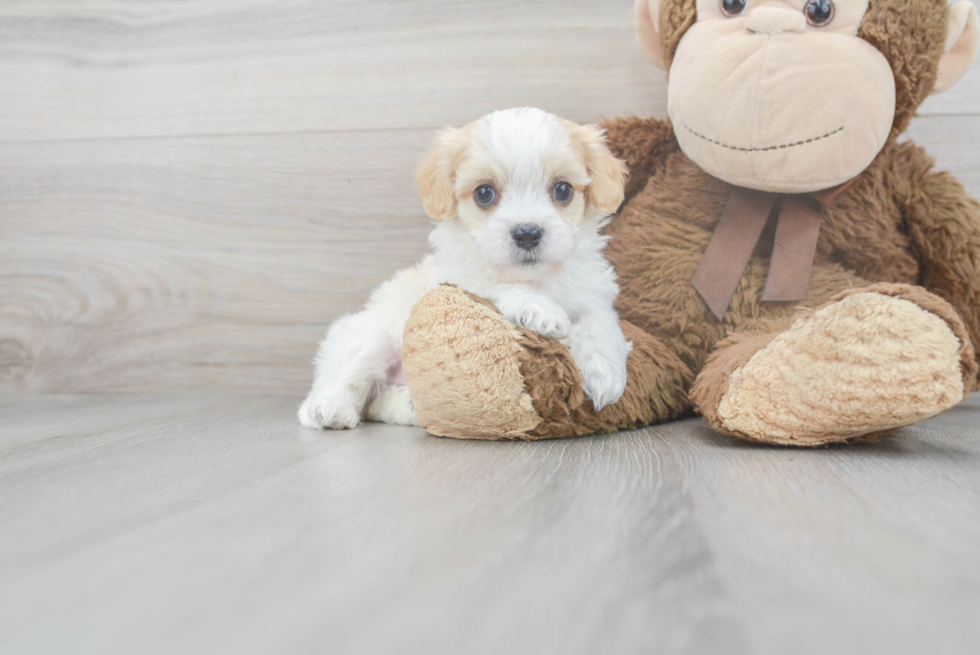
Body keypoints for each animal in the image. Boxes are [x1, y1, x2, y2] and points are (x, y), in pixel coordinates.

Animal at [298, 107, 632, 430]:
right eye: (484, 193)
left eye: (562, 190)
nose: (527, 233)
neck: (535, 278)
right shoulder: (454, 278)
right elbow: (493, 283)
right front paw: (540, 310)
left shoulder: (593, 293)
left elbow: (599, 322)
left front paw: (604, 373)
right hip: (371, 335)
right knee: (345, 378)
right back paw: (329, 409)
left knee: (380, 401)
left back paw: (408, 406)